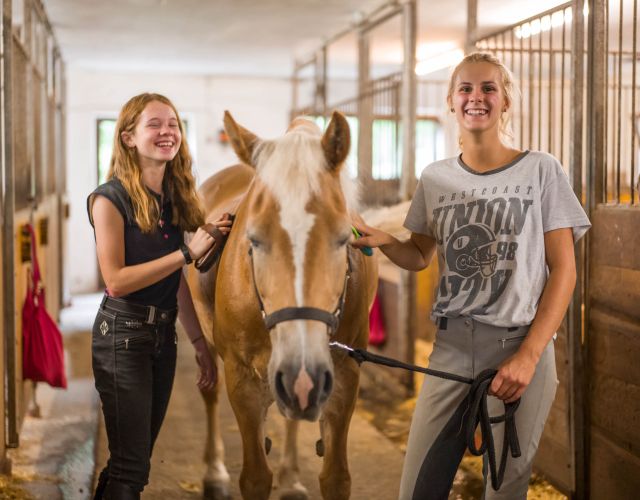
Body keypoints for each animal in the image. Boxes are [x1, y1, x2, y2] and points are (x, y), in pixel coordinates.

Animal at [186, 111, 378, 500]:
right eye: (254, 239)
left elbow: (336, 478)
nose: (301, 374)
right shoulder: (242, 378)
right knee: (209, 390)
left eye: (342, 239)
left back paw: (290, 479)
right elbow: (255, 478)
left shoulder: (344, 375)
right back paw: (214, 474)